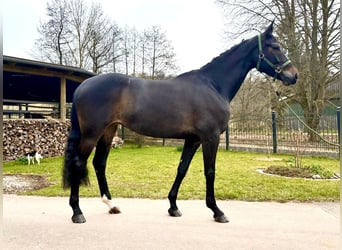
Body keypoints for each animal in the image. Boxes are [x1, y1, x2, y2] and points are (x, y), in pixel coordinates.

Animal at [62, 22, 298, 224]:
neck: (213, 85)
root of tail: (83, 85)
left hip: (108, 131)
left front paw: (173, 207)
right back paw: (77, 212)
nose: (293, 75)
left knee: (99, 163)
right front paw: (217, 211)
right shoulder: (210, 137)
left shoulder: (193, 140)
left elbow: (182, 169)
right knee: (79, 163)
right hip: (92, 134)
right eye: (275, 46)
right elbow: (210, 171)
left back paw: (111, 205)